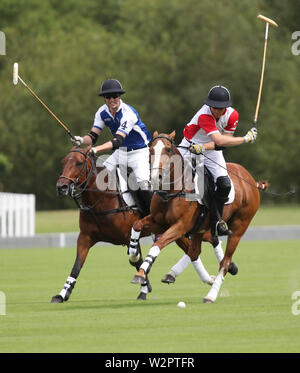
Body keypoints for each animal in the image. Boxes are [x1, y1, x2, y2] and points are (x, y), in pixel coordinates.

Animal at [130, 131, 268, 302]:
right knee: (195, 252)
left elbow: (157, 245)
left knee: (224, 261)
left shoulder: (180, 226)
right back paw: (174, 274)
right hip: (199, 228)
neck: (171, 191)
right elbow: (137, 225)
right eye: (150, 150)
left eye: (168, 149)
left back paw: (211, 295)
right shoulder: (159, 222)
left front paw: (140, 273)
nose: (156, 177)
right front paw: (134, 255)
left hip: (239, 227)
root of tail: (251, 180)